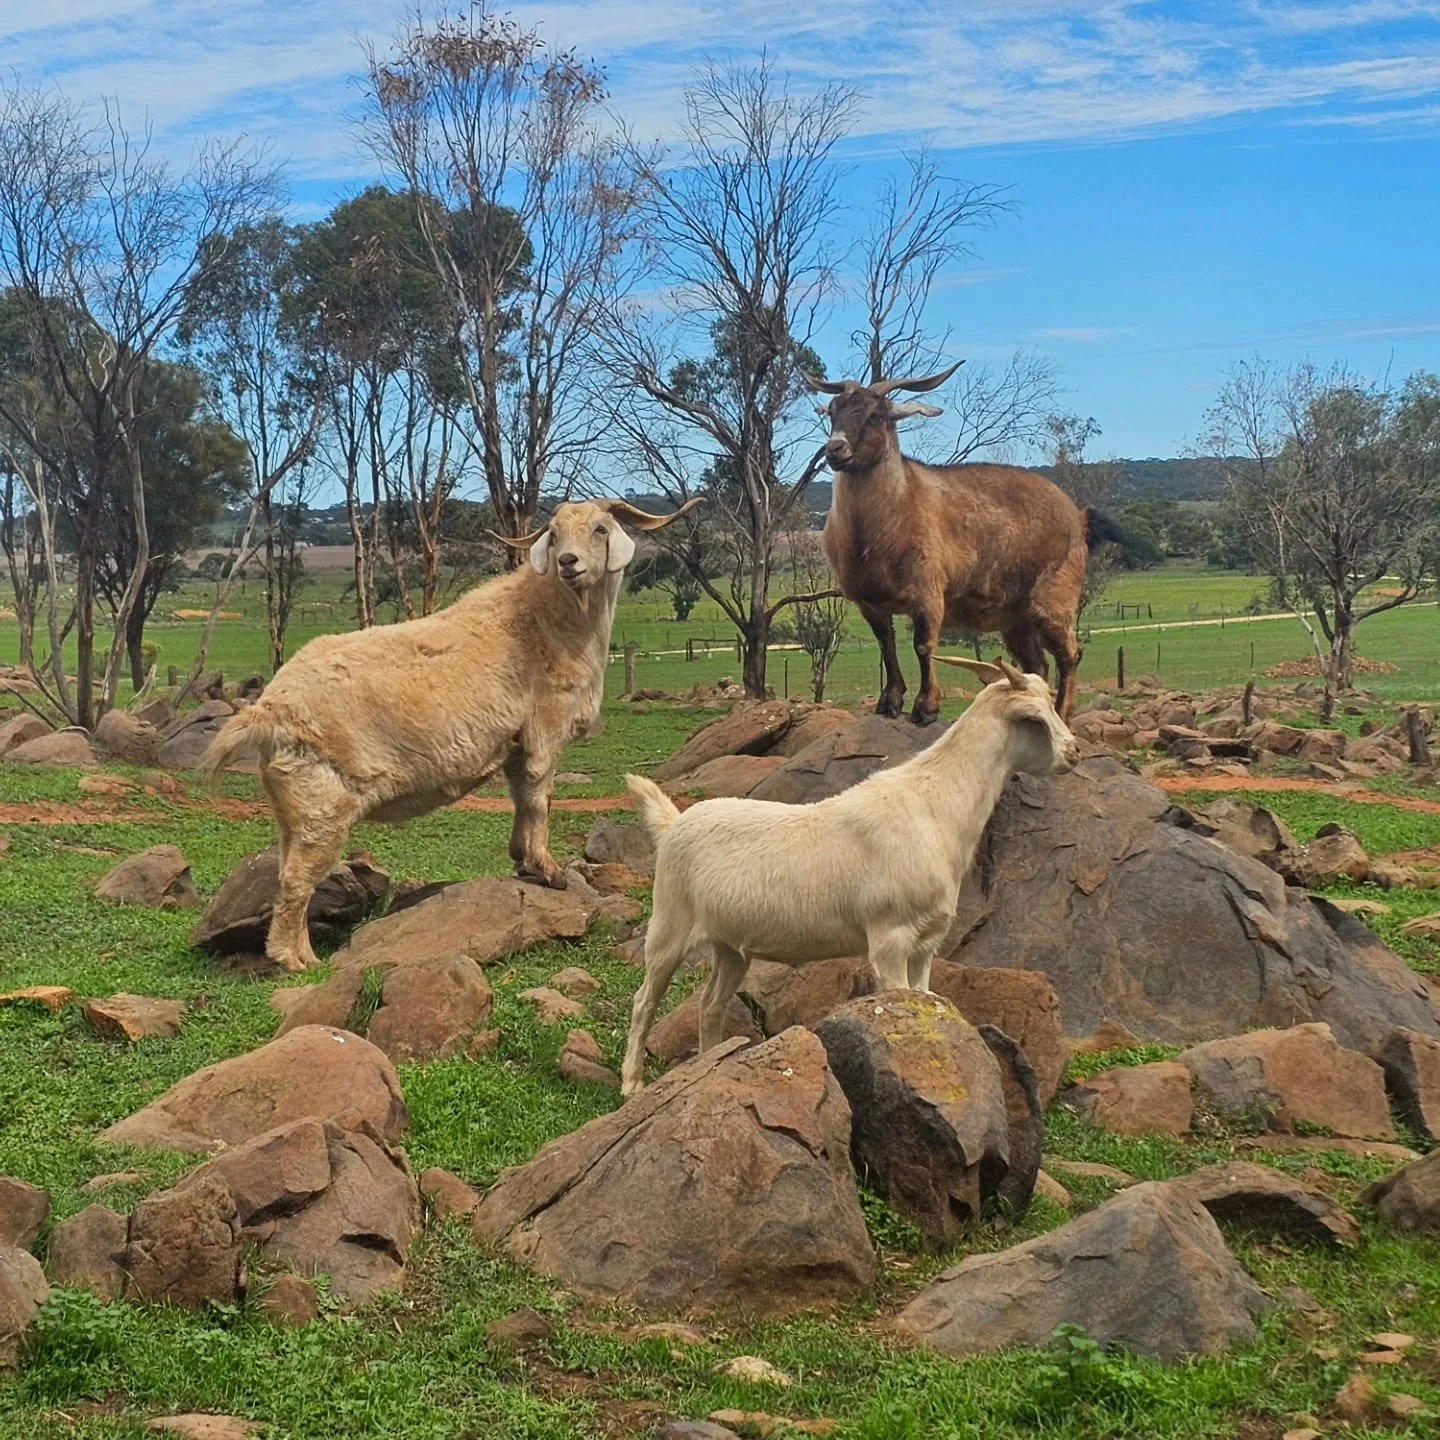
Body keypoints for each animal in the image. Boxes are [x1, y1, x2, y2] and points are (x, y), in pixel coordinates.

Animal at [202, 497, 700, 973]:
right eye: (555, 534)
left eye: (599, 528)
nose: (568, 562)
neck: (549, 622)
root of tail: (269, 710)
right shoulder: (545, 731)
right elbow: (540, 798)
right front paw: (550, 870)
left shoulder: (517, 743)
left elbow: (521, 798)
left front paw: (522, 861)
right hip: (322, 802)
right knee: (296, 882)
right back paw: (295, 960)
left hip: (293, 809)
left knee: (288, 872)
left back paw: (300, 953)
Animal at [619, 657, 1079, 1095]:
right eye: (1034, 718)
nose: (1074, 752)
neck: (933, 809)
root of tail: (672, 824)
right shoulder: (891, 938)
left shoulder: (927, 943)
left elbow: (926, 999)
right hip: (669, 924)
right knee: (644, 1000)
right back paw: (632, 1082)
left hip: (730, 944)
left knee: (710, 1004)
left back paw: (709, 1063)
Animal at [804, 364, 1123, 723]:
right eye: (833, 411)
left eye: (875, 414)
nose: (835, 450)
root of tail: (1078, 517)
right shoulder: (870, 603)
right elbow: (887, 644)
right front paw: (889, 702)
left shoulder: (928, 593)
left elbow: (923, 646)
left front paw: (926, 706)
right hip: (1016, 619)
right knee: (1036, 664)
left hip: (1054, 598)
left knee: (1070, 652)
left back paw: (1060, 714)